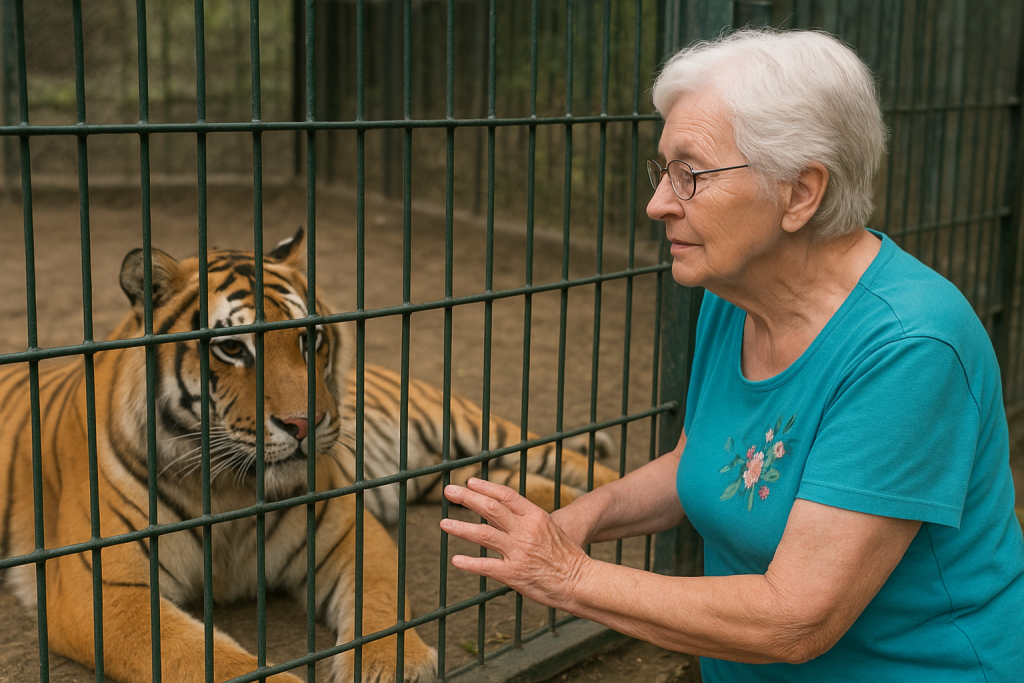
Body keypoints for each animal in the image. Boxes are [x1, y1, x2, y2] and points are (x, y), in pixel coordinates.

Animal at [0, 228, 618, 683]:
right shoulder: (104, 588)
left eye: (310, 338)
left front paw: (390, 665)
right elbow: (206, 660)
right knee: (491, 481)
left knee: (549, 451)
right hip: (443, 472)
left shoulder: (347, 530)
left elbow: (380, 601)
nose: (304, 424)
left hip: (461, 421)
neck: (230, 489)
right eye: (232, 348)